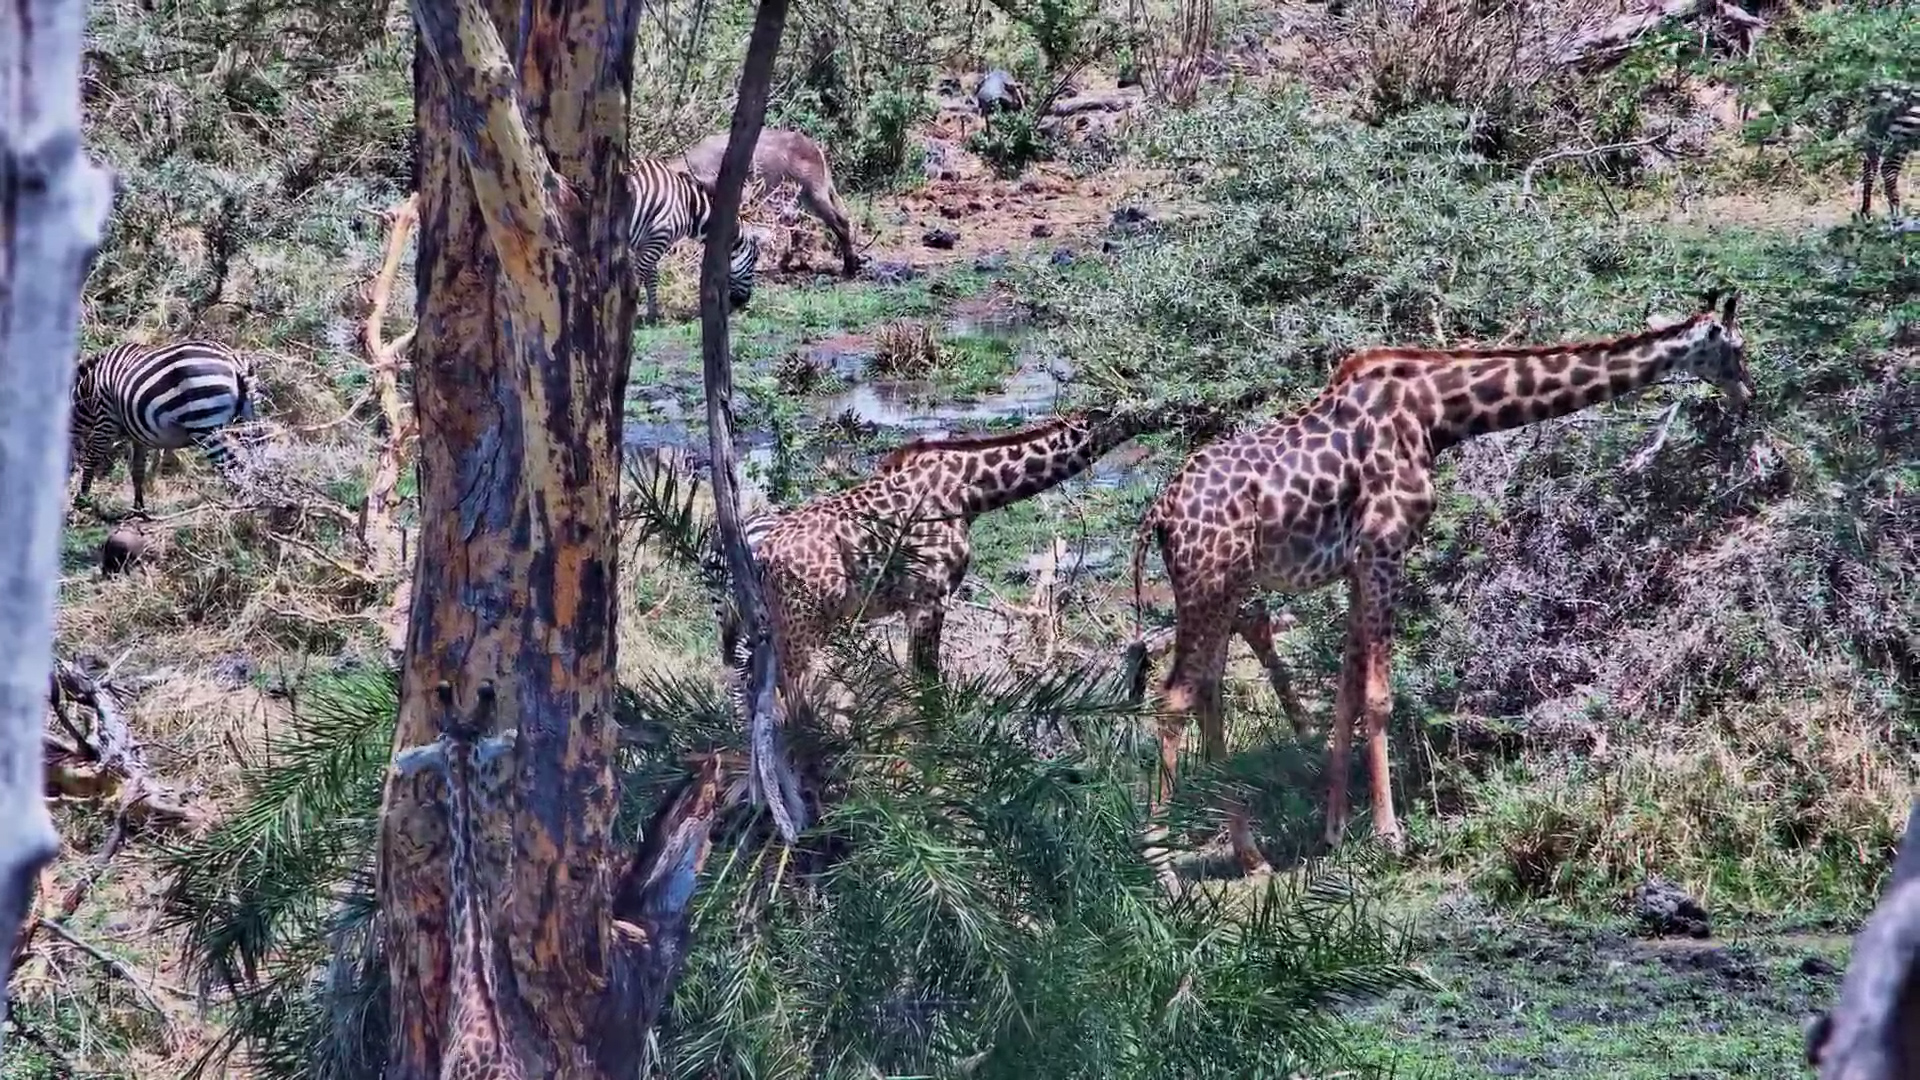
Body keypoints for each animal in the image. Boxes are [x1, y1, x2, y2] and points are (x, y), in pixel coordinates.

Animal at [70, 340, 259, 513]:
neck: (87, 389)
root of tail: (233, 360)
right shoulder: (138, 432)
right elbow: (137, 470)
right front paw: (139, 508)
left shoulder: (106, 418)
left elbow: (92, 459)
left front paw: (81, 500)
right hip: (247, 421)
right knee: (252, 463)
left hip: (206, 424)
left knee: (231, 467)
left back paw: (238, 512)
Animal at [628, 158, 762, 325]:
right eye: (755, 260)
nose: (743, 301)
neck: (689, 208)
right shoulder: (658, 237)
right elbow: (639, 278)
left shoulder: (645, 242)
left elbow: (651, 278)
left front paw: (652, 315)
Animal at [1130, 291, 1753, 878]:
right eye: (1737, 347)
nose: (1748, 395)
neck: (1437, 411)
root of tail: (1159, 512)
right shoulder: (1385, 548)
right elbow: (1378, 697)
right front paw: (1388, 836)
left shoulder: (1358, 563)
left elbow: (1346, 693)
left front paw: (1335, 833)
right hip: (1208, 582)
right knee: (1174, 697)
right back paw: (1162, 869)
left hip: (1229, 586)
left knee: (1208, 690)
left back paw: (1252, 857)